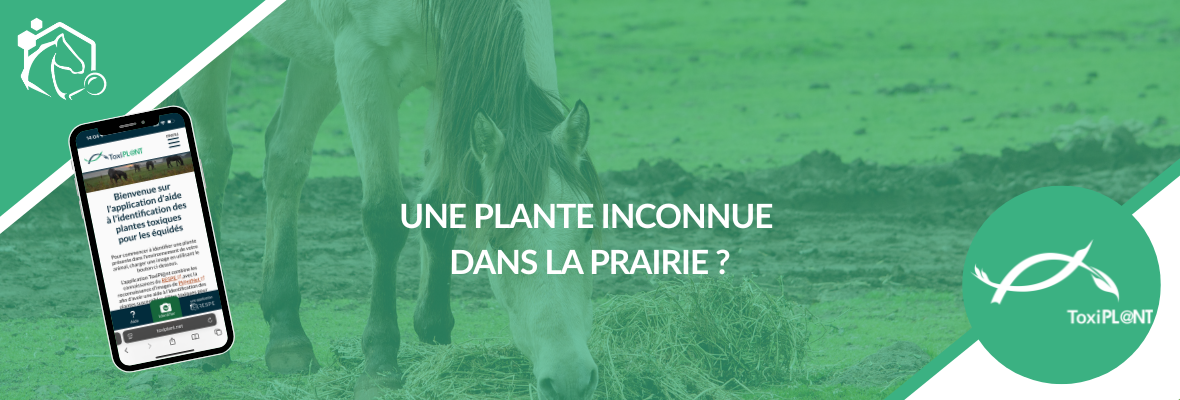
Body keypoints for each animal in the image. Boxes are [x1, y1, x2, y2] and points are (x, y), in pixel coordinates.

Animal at [178, 1, 602, 399]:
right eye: (494, 242)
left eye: (588, 232)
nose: (570, 378)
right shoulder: (361, 62)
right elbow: (385, 217)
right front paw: (380, 364)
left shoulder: (446, 82)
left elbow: (440, 206)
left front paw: (435, 333)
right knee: (213, 156)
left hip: (316, 59)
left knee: (286, 155)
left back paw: (287, 337)